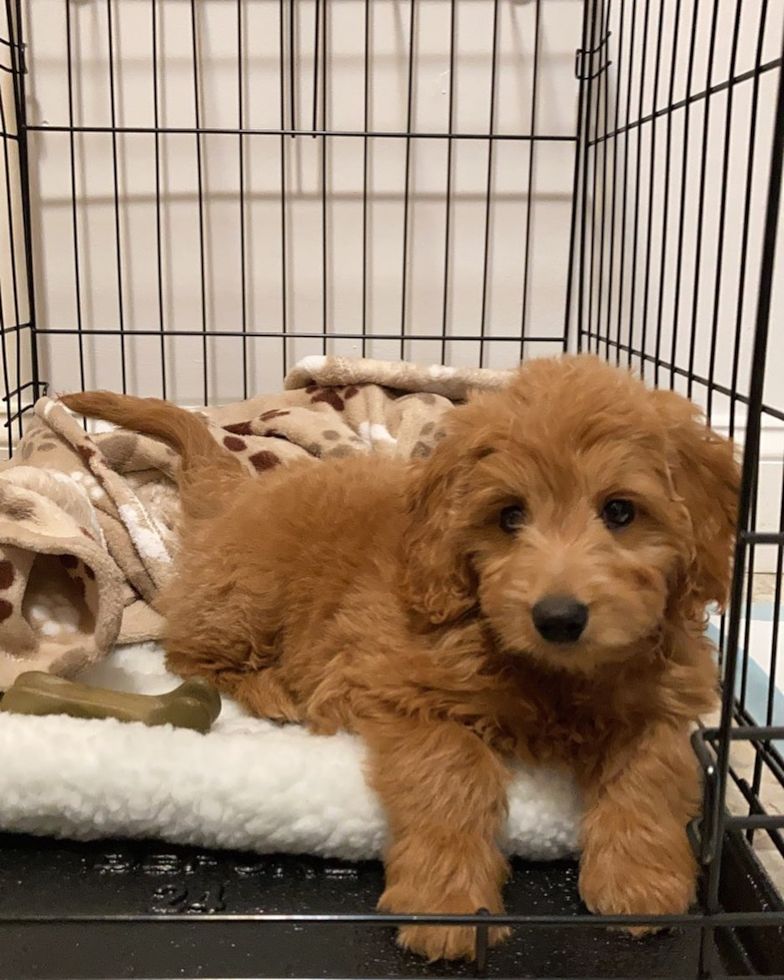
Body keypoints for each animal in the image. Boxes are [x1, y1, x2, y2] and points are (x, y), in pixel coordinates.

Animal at [62, 356, 740, 960]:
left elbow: (654, 769)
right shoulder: (395, 686)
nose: (559, 618)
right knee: (190, 653)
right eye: (509, 516)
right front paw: (448, 906)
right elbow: (453, 771)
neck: (548, 673)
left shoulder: (664, 700)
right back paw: (273, 691)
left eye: (620, 511)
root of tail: (241, 486)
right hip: (243, 597)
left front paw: (640, 882)